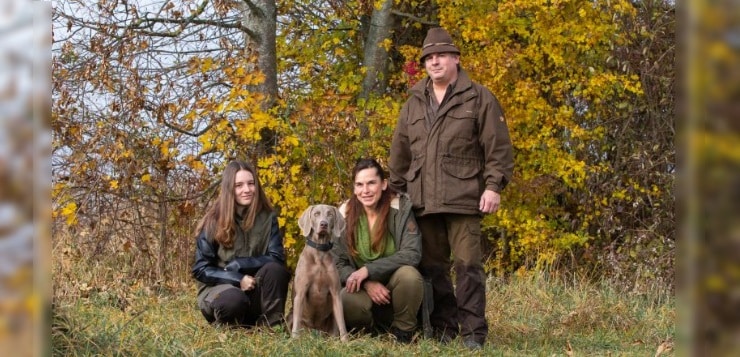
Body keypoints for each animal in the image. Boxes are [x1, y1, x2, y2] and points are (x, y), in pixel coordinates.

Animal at [290, 203, 348, 340]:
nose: (323, 224)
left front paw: (346, 341)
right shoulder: (300, 293)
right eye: (316, 214)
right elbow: (296, 322)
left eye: (330, 214)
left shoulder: (336, 293)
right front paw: (293, 340)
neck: (319, 253)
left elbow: (342, 323)